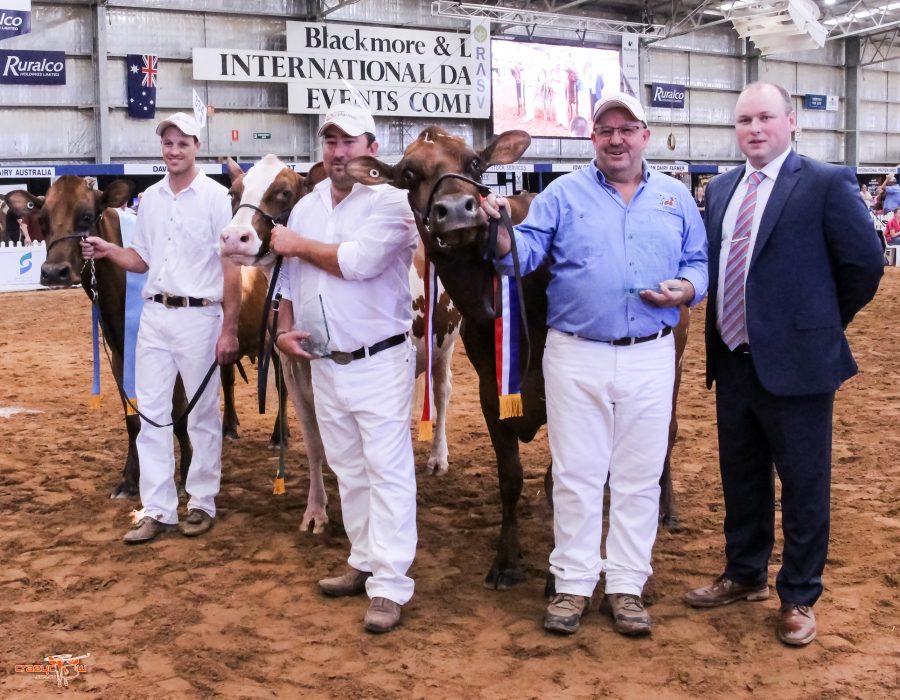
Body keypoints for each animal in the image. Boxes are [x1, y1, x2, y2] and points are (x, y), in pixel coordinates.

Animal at [218, 154, 463, 532]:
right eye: (233, 192)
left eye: (284, 191)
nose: (234, 238)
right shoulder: (292, 369)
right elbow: (316, 444)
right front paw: (316, 510)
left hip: (446, 341)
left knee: (441, 391)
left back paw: (438, 457)